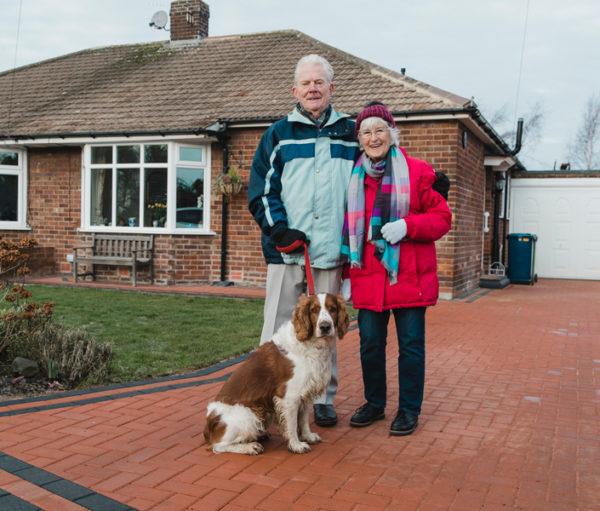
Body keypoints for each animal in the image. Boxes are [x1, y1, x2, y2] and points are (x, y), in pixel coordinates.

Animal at [203, 292, 350, 456]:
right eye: (313, 310)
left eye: (333, 309)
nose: (325, 327)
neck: (310, 344)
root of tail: (208, 427)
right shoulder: (289, 397)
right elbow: (291, 425)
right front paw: (296, 445)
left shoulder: (305, 392)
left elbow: (304, 420)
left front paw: (308, 436)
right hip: (247, 415)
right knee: (218, 445)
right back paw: (250, 446)